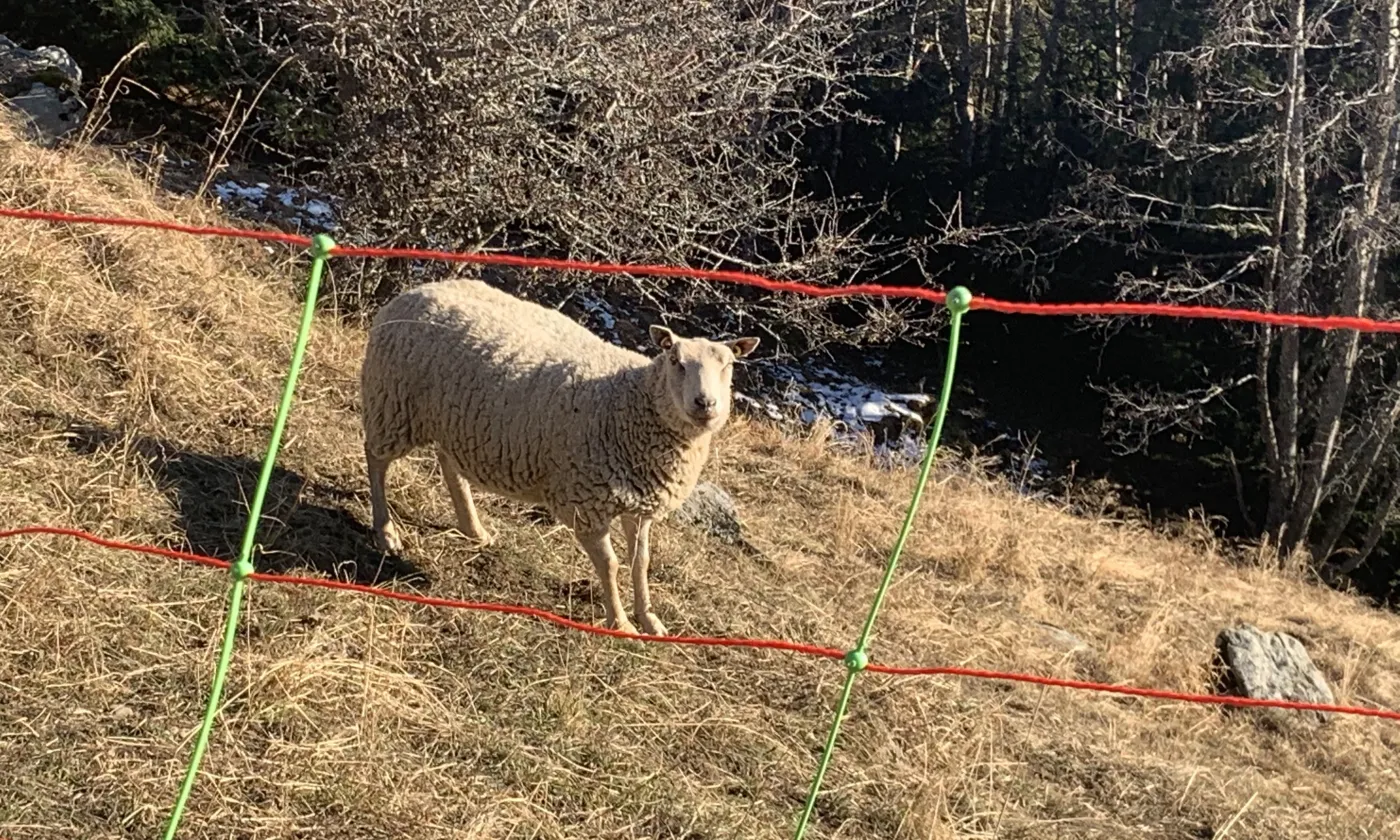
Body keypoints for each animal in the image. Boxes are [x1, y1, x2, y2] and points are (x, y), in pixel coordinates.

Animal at [359, 277, 760, 636]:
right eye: (676, 360)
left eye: (729, 365)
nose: (705, 404)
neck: (631, 399)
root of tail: (415, 290)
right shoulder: (586, 503)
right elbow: (611, 564)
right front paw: (620, 623)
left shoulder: (640, 504)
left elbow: (640, 563)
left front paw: (650, 620)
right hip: (392, 403)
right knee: (376, 460)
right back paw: (386, 531)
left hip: (453, 419)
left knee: (449, 464)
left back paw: (474, 529)